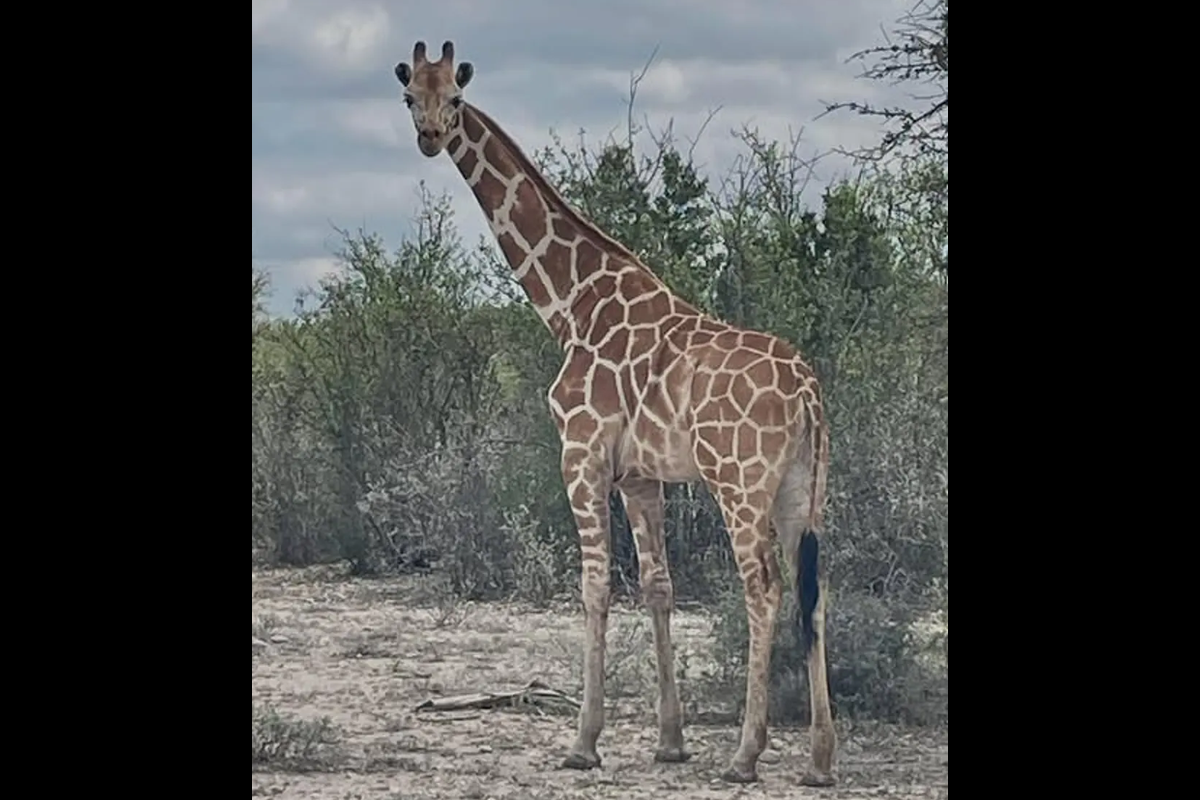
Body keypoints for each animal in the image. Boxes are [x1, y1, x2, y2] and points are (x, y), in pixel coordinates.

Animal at [393, 41, 837, 786]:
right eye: (409, 97)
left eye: (454, 96)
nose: (428, 136)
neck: (570, 304)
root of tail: (807, 390)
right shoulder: (640, 474)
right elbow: (658, 586)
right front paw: (670, 740)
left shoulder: (581, 453)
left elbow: (595, 585)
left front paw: (583, 741)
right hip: (803, 487)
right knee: (815, 588)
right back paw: (820, 760)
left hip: (739, 481)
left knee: (764, 588)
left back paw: (746, 754)